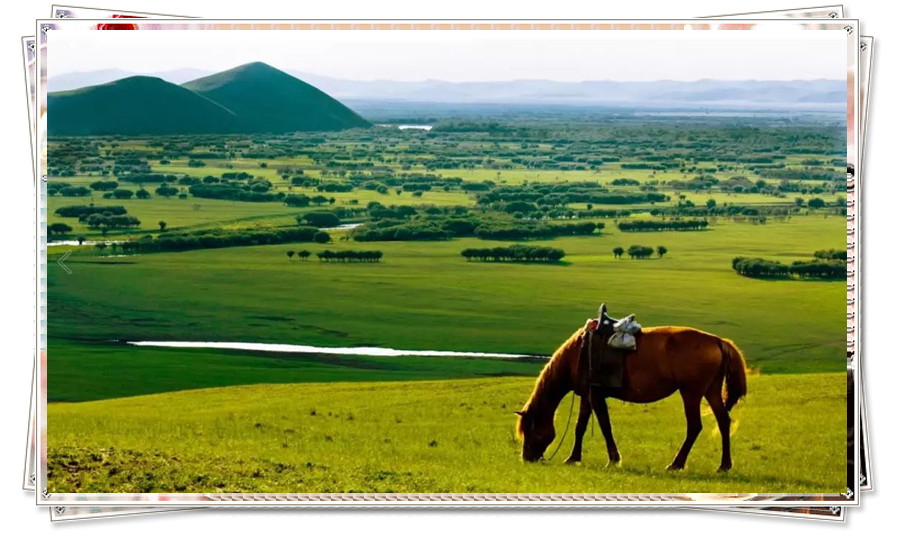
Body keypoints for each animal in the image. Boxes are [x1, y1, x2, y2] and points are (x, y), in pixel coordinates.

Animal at [516, 322, 748, 468]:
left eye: (530, 430)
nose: (526, 458)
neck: (578, 353)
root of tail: (717, 341)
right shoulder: (587, 396)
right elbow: (580, 427)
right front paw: (573, 458)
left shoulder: (596, 395)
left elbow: (605, 426)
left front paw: (613, 459)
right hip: (711, 391)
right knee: (723, 421)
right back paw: (724, 465)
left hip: (691, 393)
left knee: (694, 427)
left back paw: (676, 464)